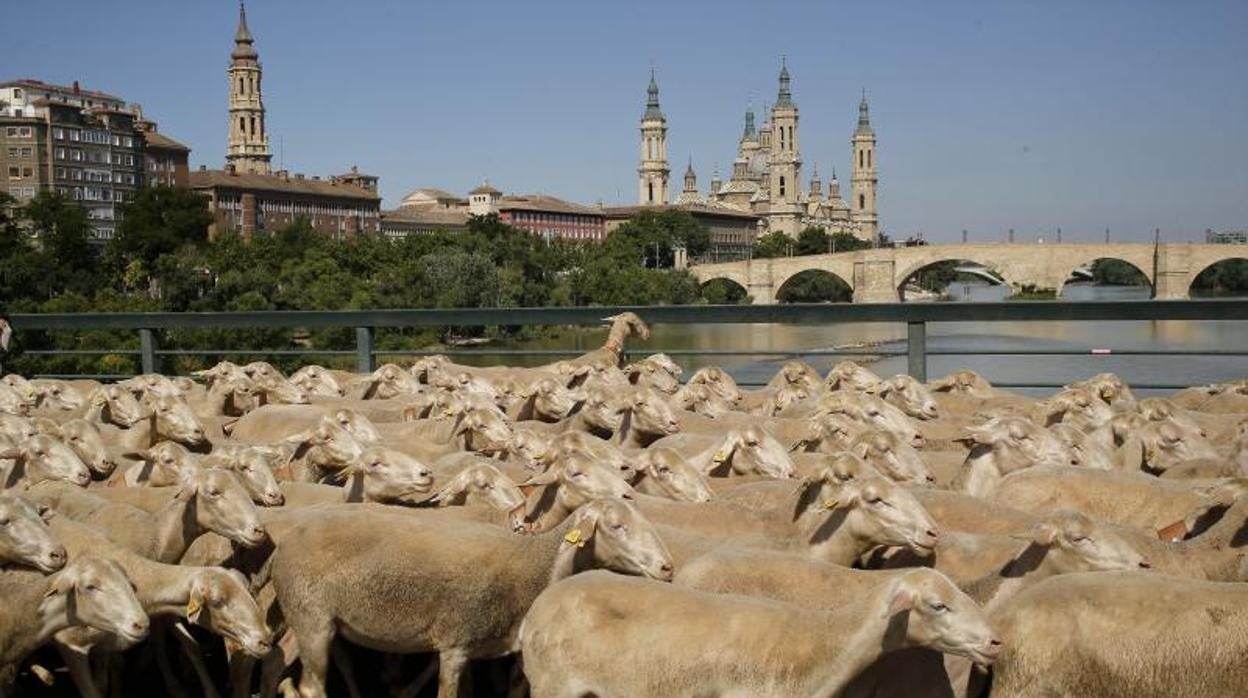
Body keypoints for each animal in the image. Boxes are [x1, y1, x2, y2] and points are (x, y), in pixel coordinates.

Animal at [267, 499, 668, 698]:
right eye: (616, 526)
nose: (666, 567)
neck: (536, 568)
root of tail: (285, 545)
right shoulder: (455, 645)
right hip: (313, 621)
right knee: (311, 688)